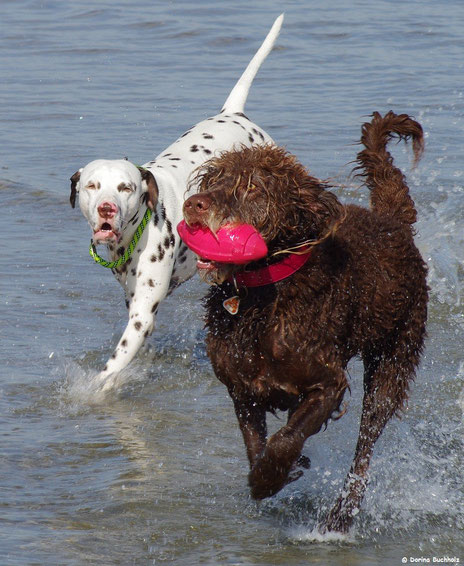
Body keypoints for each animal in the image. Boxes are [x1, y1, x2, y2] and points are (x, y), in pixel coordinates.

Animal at [69, 15, 282, 392]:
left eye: (125, 187)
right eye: (92, 186)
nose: (107, 208)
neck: (138, 232)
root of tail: (235, 113)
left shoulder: (141, 315)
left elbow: (113, 364)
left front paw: (95, 390)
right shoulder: (134, 302)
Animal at [182, 112, 428, 536]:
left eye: (253, 188)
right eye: (213, 180)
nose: (194, 204)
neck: (264, 296)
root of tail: (392, 222)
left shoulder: (328, 383)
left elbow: (285, 440)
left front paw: (271, 476)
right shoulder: (241, 389)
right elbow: (256, 444)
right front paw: (277, 473)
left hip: (394, 359)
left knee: (365, 446)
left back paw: (341, 516)